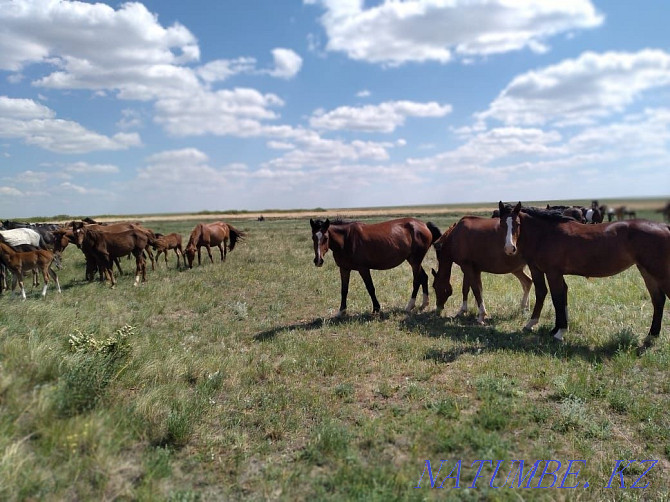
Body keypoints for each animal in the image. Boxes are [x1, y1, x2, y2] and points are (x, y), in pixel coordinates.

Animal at [310, 218, 440, 316]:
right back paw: (423, 304)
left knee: (417, 280)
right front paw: (341, 311)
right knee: (424, 277)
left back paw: (409, 306)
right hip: (414, 261)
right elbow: (344, 290)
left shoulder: (363, 269)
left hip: (415, 261)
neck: (346, 239)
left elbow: (370, 288)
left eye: (326, 238)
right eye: (313, 238)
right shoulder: (344, 269)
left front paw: (376, 308)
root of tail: (424, 225)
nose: (318, 260)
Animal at [498, 200, 670, 350]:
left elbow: (553, 297)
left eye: (517, 224)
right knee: (658, 301)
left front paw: (555, 330)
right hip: (647, 272)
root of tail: (665, 226)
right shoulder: (547, 271)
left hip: (659, 274)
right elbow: (559, 297)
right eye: (501, 224)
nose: (509, 248)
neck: (546, 234)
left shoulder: (551, 272)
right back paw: (651, 336)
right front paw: (555, 328)